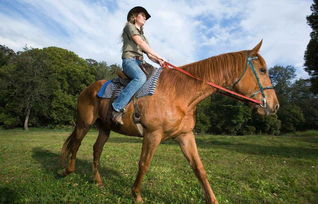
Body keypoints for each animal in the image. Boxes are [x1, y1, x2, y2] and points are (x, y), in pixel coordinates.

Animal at [59, 40, 278, 203]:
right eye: (262, 70)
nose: (274, 106)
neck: (180, 93)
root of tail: (87, 89)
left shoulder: (185, 136)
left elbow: (199, 168)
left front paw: (212, 199)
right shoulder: (152, 135)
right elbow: (144, 164)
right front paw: (136, 195)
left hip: (105, 128)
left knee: (96, 149)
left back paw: (98, 181)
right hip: (84, 124)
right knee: (76, 144)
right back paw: (68, 171)